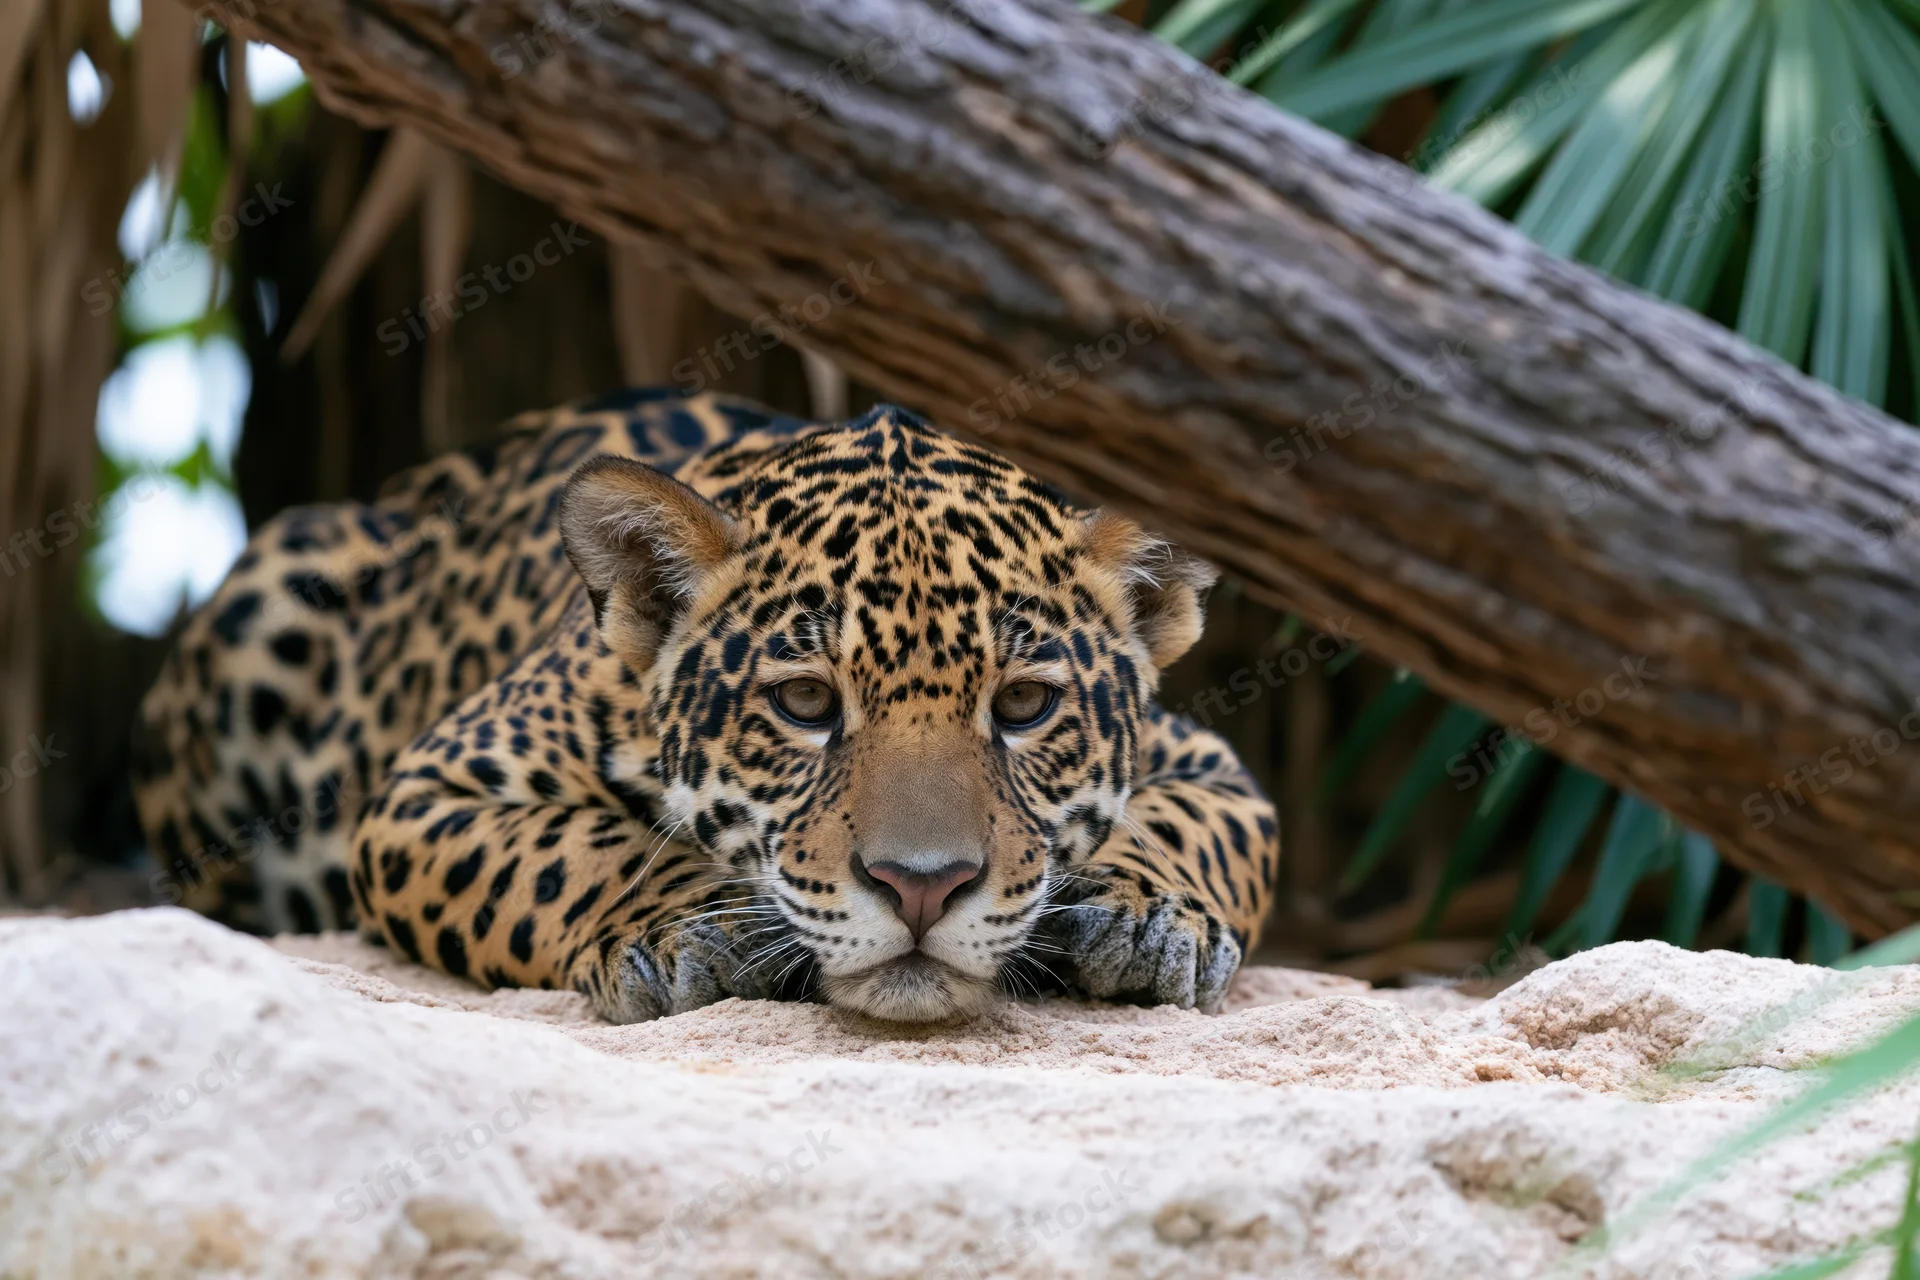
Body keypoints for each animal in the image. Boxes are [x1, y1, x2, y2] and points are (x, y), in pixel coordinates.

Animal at [133, 388, 1280, 1023]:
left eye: (1027, 704)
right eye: (806, 700)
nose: (922, 890)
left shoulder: (1216, 767)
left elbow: (1191, 822)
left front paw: (1148, 910)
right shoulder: (425, 790)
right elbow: (570, 851)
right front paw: (685, 920)